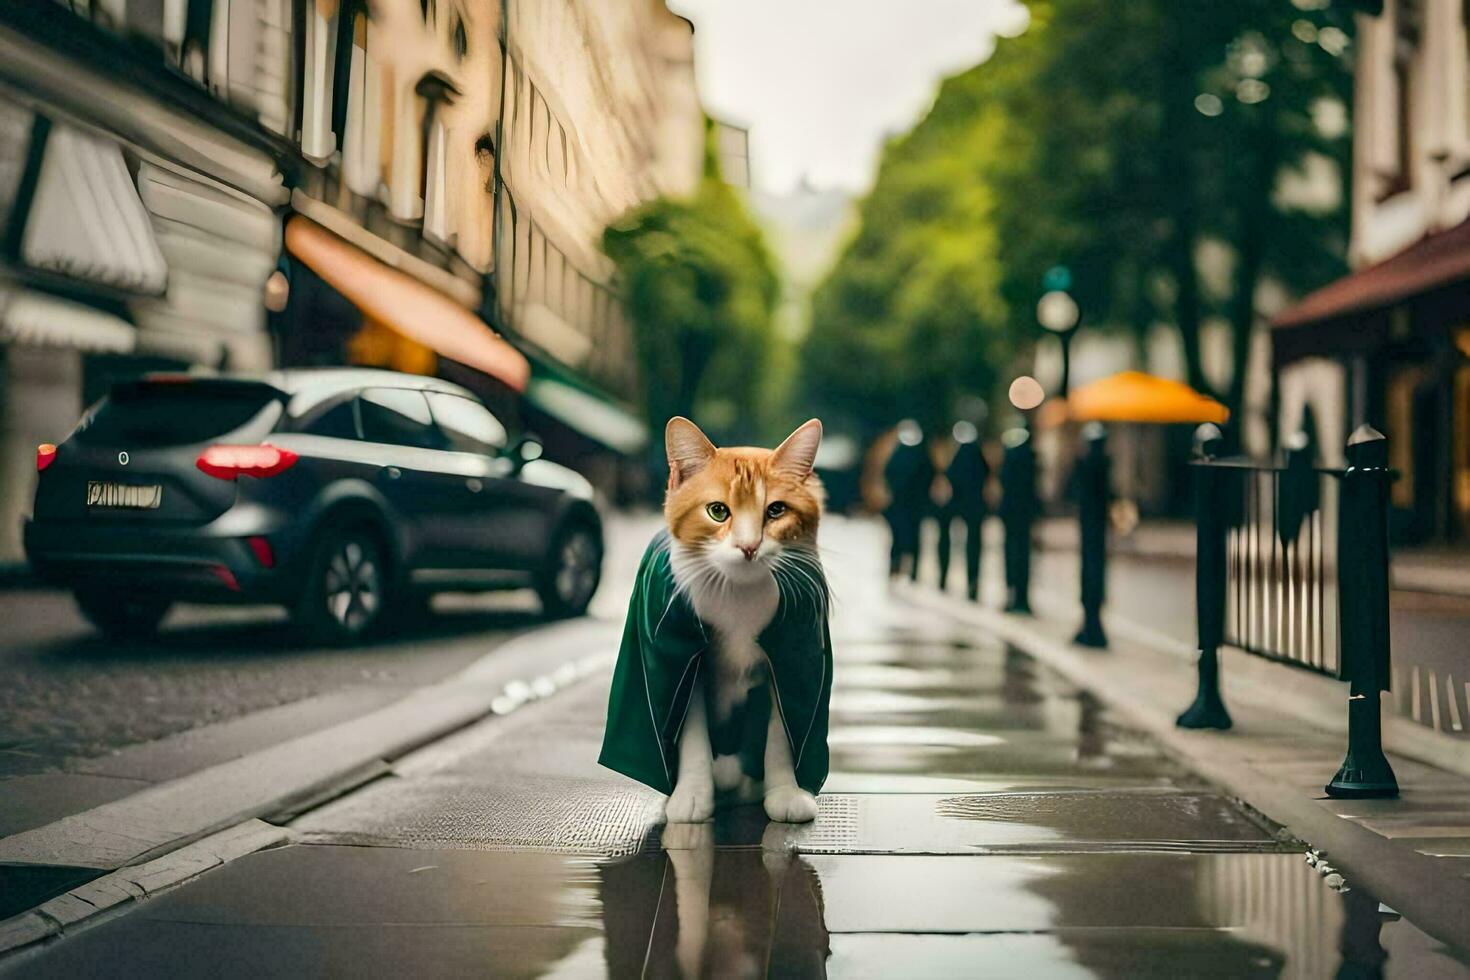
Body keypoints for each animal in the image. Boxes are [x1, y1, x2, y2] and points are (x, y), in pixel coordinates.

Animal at [664, 417, 829, 822]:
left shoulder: (784, 661)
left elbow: (780, 733)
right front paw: (692, 794)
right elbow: (692, 730)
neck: (737, 594)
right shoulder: (689, 658)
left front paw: (785, 792)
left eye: (776, 510)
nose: (749, 546)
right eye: (717, 511)